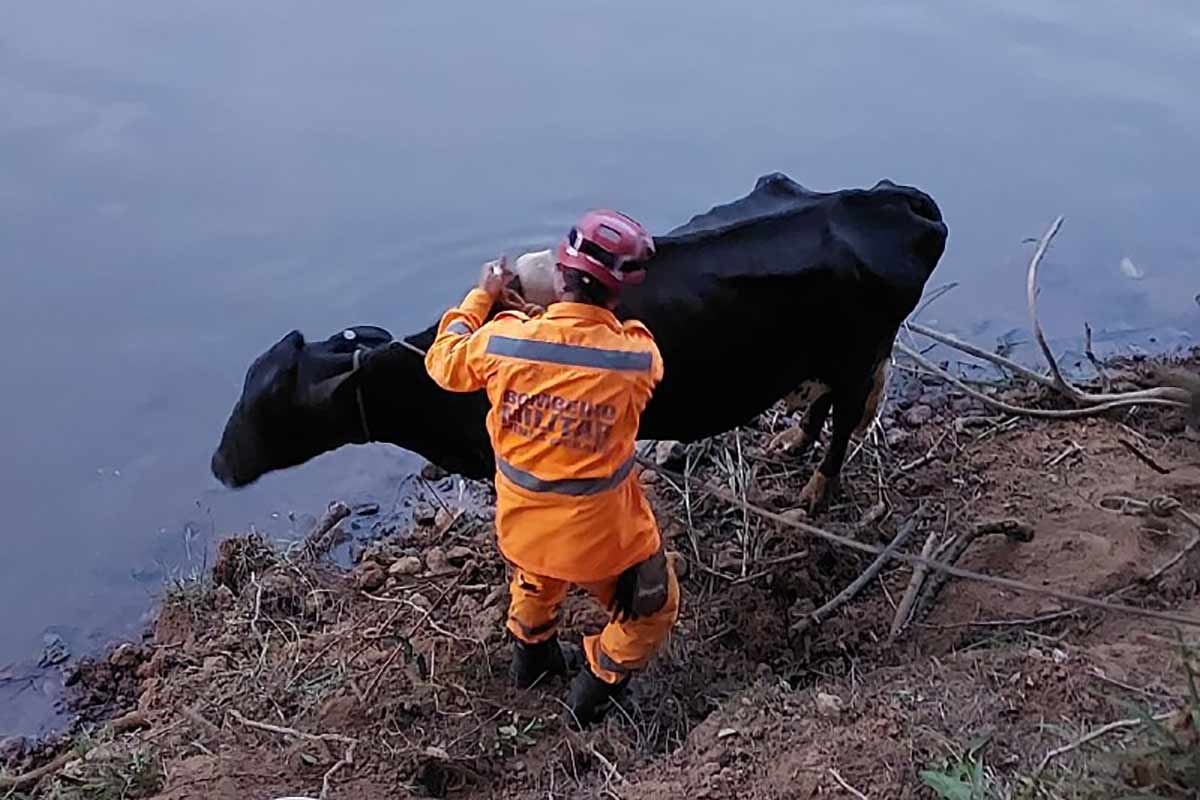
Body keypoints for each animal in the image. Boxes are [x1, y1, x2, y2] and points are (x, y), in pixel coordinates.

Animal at [213, 173, 945, 513]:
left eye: (265, 406)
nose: (218, 466)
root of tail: (889, 197)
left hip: (859, 353)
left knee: (845, 421)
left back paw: (817, 489)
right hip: (829, 353)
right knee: (821, 404)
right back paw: (791, 442)